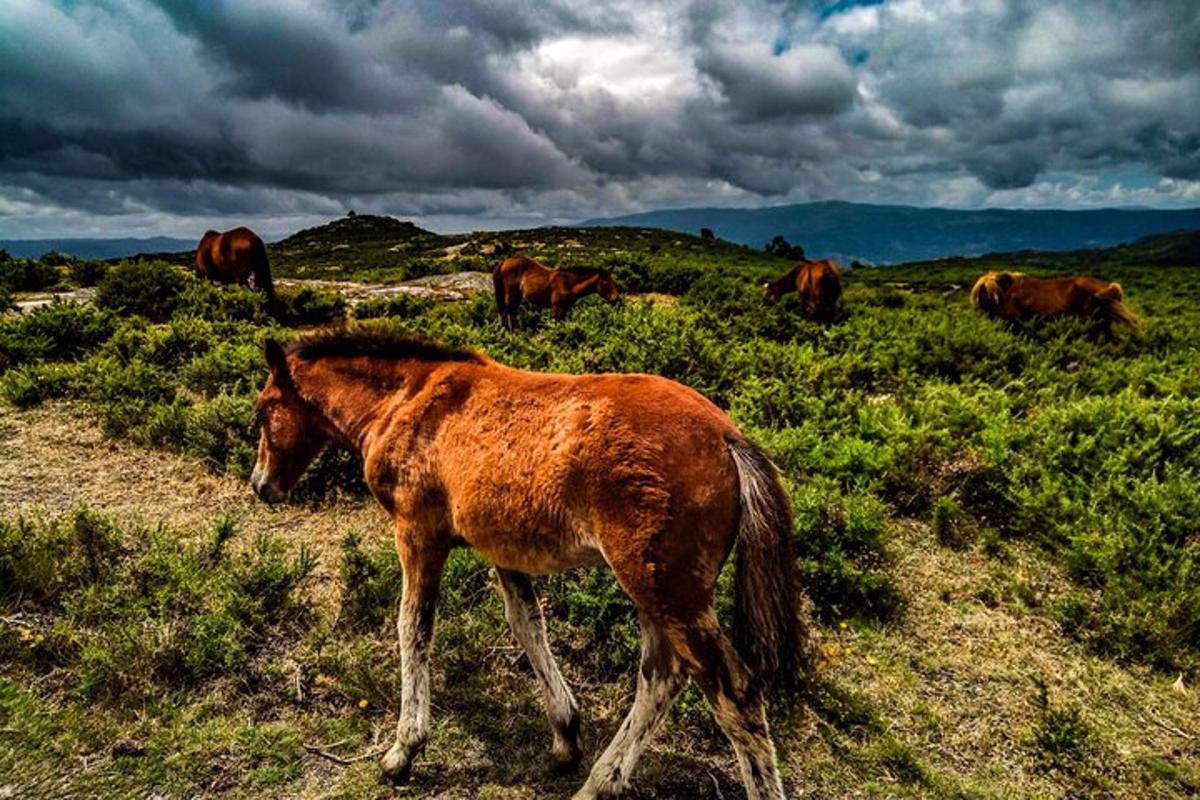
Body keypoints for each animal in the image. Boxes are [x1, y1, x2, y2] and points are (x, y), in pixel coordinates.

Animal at [250, 326, 816, 800]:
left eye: (263, 410)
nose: (261, 486)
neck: (408, 403)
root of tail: (728, 437)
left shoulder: (418, 533)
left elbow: (413, 628)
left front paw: (403, 750)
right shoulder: (503, 549)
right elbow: (528, 626)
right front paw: (565, 734)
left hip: (663, 586)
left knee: (732, 693)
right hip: (659, 590)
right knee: (663, 675)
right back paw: (599, 783)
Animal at [494, 256, 624, 331]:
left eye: (614, 282)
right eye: (605, 283)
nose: (617, 300)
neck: (568, 283)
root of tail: (504, 262)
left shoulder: (565, 310)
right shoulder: (557, 309)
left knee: (510, 313)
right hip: (511, 296)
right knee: (506, 313)